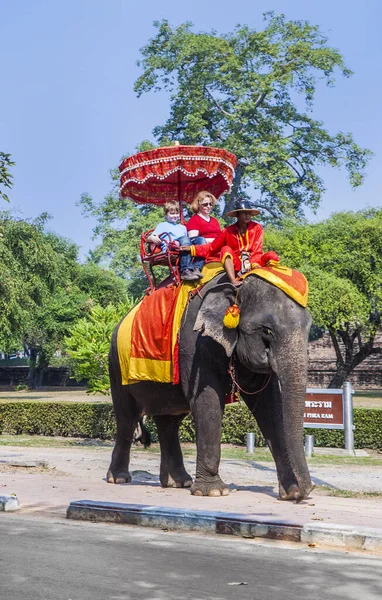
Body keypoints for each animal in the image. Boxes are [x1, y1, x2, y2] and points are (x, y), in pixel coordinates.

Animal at [106, 272, 314, 502]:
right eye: (267, 330)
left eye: (309, 328)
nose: (305, 492)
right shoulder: (195, 343)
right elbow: (207, 401)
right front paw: (213, 492)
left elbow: (270, 408)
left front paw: (289, 492)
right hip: (117, 368)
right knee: (127, 418)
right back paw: (119, 478)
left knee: (168, 422)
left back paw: (178, 482)